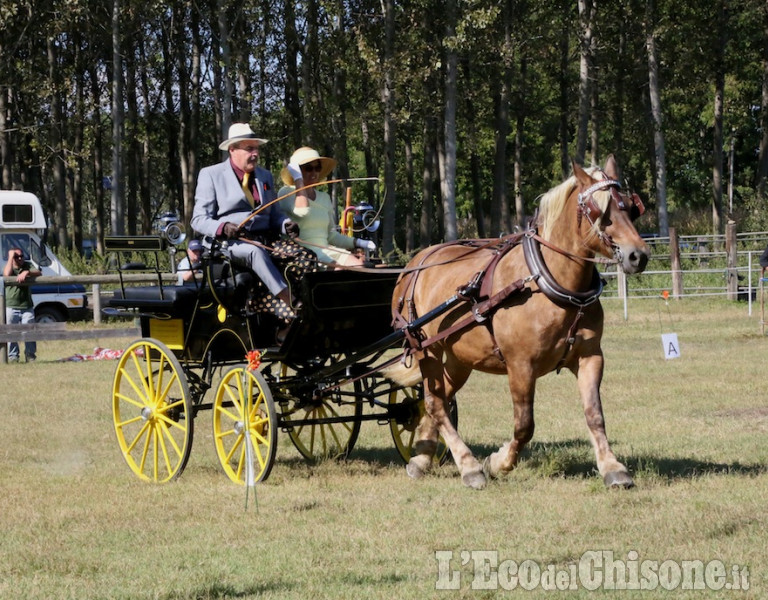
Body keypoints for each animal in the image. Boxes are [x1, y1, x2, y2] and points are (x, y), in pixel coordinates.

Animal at [390, 155, 648, 488]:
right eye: (600, 212)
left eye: (630, 207)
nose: (637, 256)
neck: (547, 280)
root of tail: (413, 264)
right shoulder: (521, 366)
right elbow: (524, 425)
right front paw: (498, 462)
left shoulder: (591, 356)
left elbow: (595, 414)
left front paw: (612, 467)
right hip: (426, 350)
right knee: (435, 403)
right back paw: (469, 466)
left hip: (459, 358)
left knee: (440, 398)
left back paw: (421, 457)